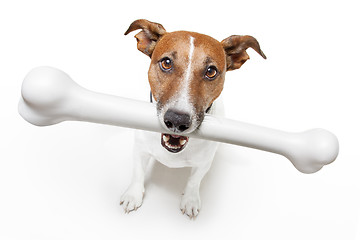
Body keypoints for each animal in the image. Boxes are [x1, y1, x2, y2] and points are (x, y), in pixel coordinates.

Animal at [119, 19, 266, 219]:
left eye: (211, 71)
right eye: (166, 63)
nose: (177, 120)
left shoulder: (204, 163)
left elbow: (194, 181)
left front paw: (190, 200)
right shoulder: (140, 150)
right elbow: (137, 173)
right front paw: (133, 195)